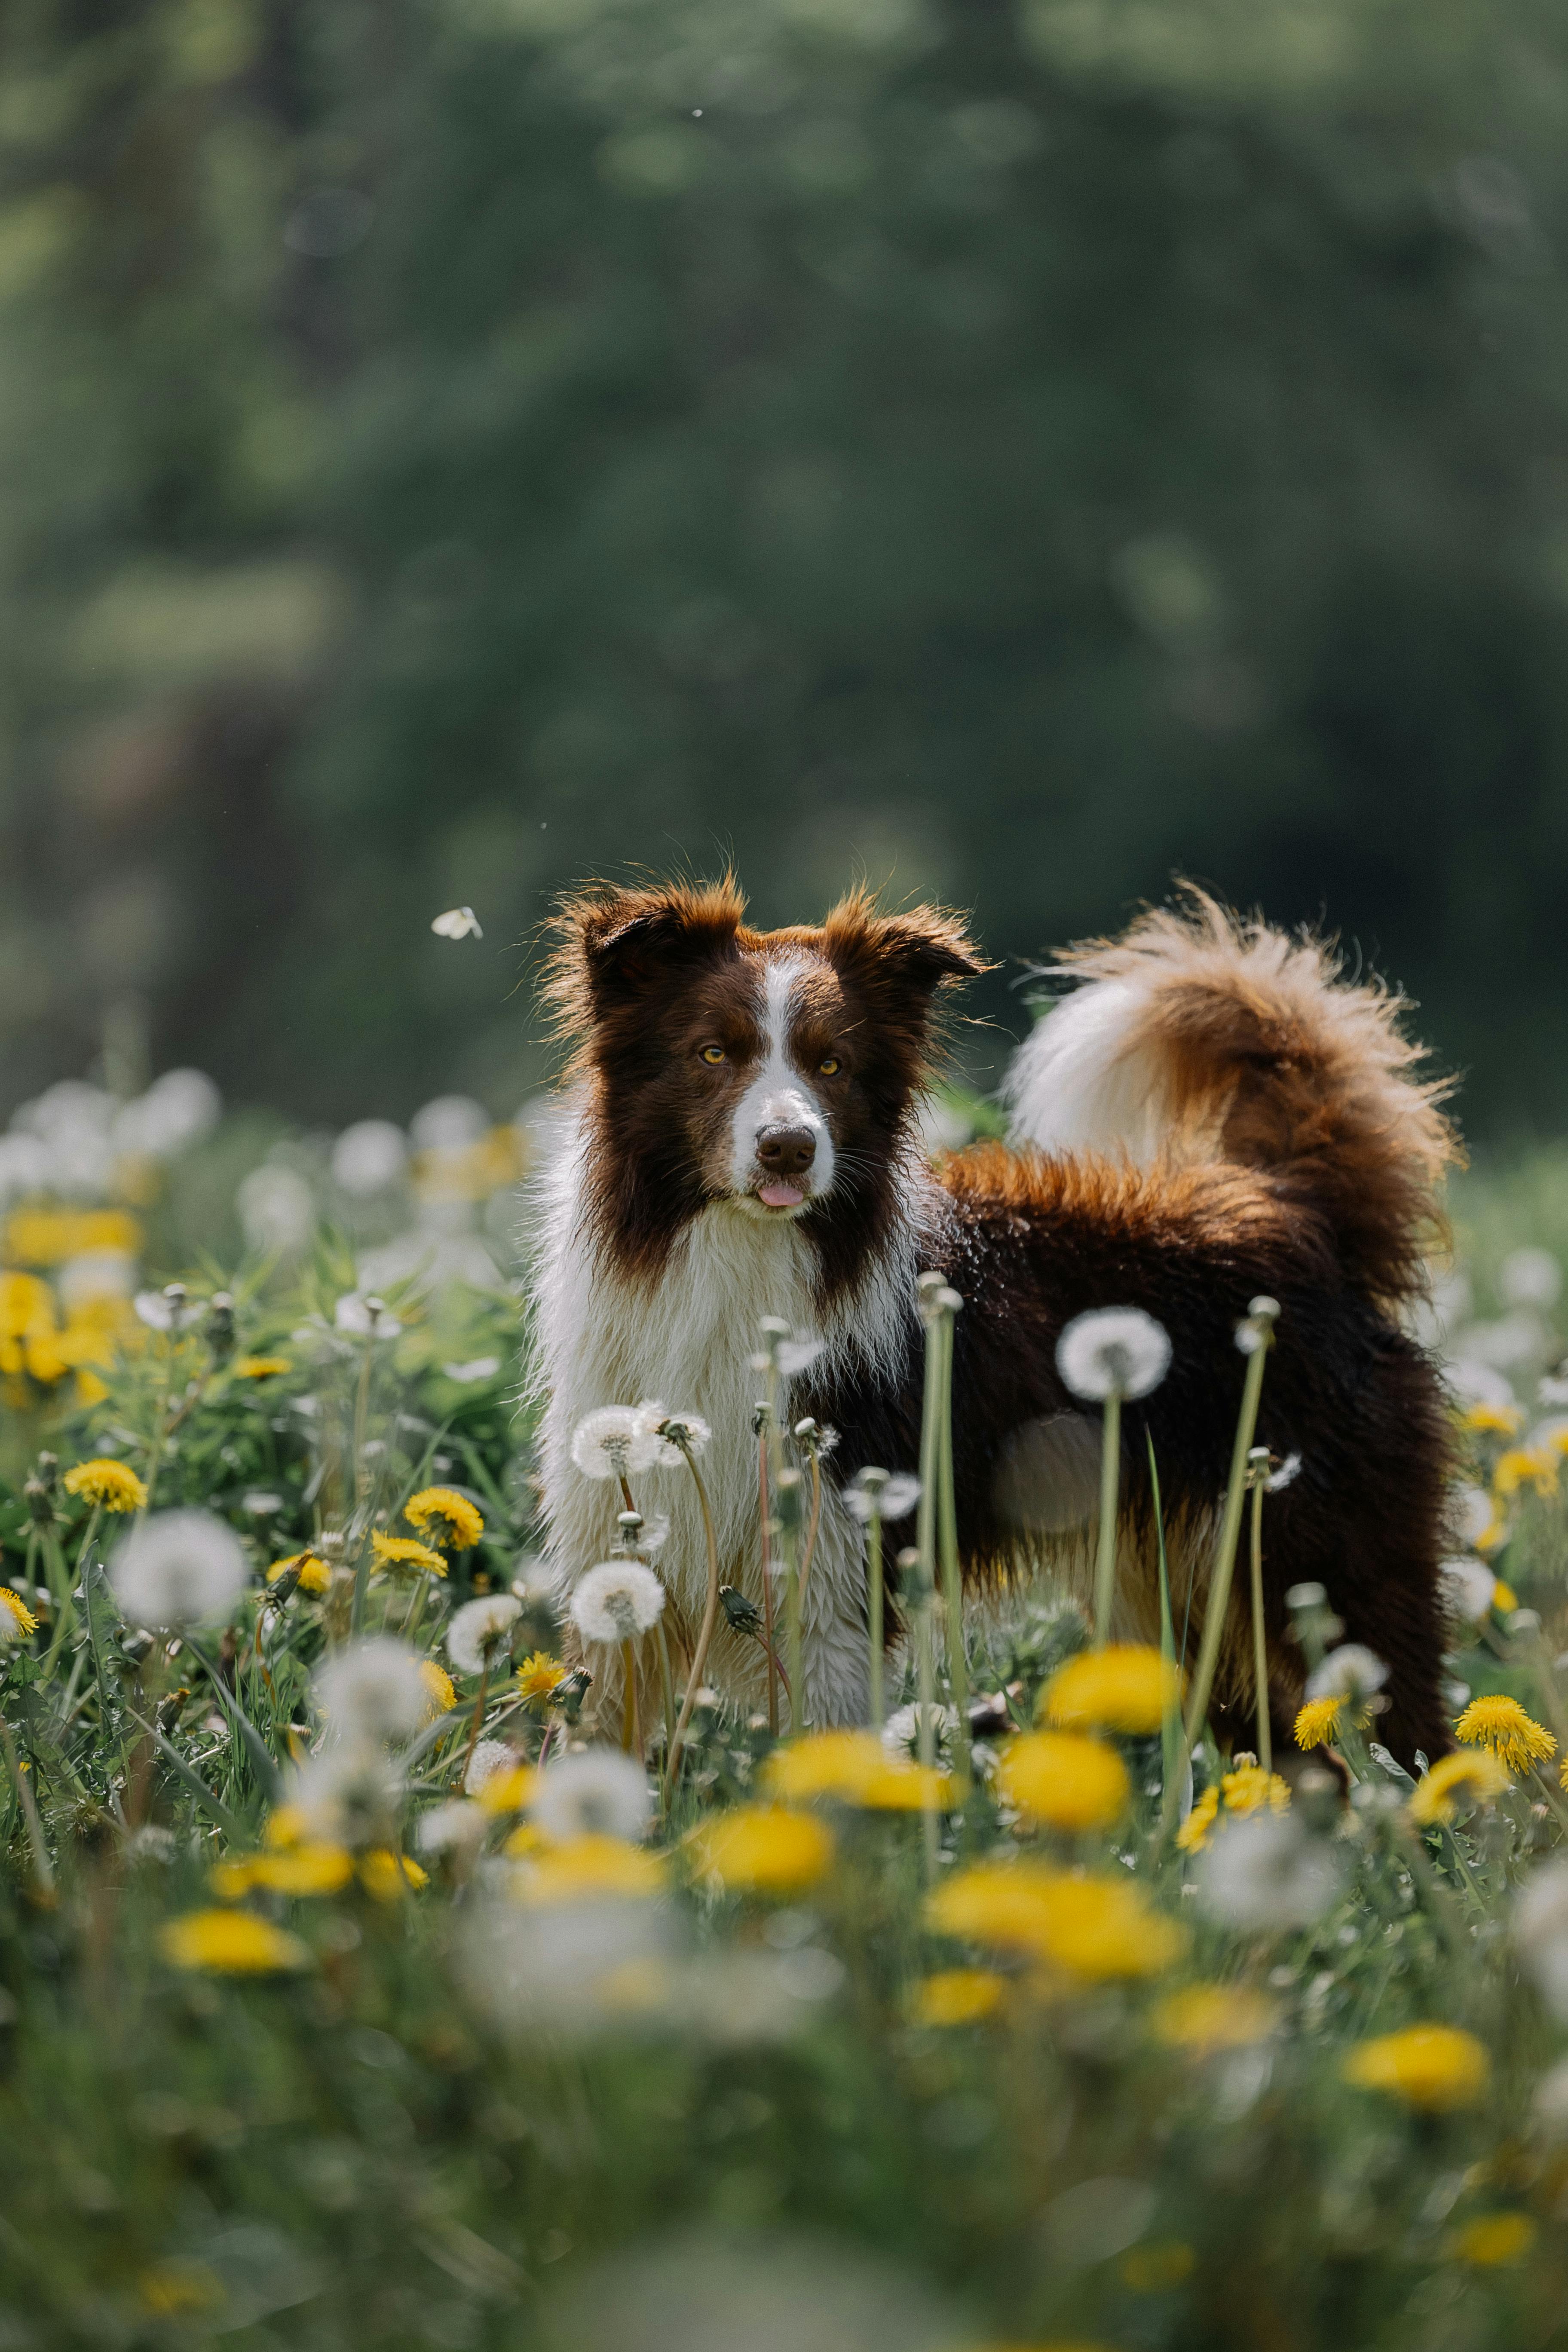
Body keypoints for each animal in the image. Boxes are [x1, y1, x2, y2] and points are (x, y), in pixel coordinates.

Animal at [533, 884, 1467, 1768]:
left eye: (831, 1064)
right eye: (713, 1053)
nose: (789, 1148)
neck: (738, 1252)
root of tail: (1292, 1206)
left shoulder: (831, 1584)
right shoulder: (619, 1563)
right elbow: (587, 1743)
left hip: (1325, 1563)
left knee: (1414, 1745)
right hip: (1179, 1596)